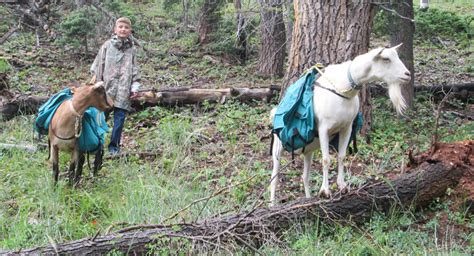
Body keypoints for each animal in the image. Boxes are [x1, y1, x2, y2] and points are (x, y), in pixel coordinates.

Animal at [270, 44, 412, 206]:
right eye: (386, 59)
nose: (407, 74)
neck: (342, 86)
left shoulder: (347, 128)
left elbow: (342, 156)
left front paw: (342, 186)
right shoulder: (323, 129)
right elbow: (326, 159)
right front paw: (325, 191)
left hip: (308, 150)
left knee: (305, 177)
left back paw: (308, 199)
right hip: (278, 146)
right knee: (274, 178)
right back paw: (272, 204)